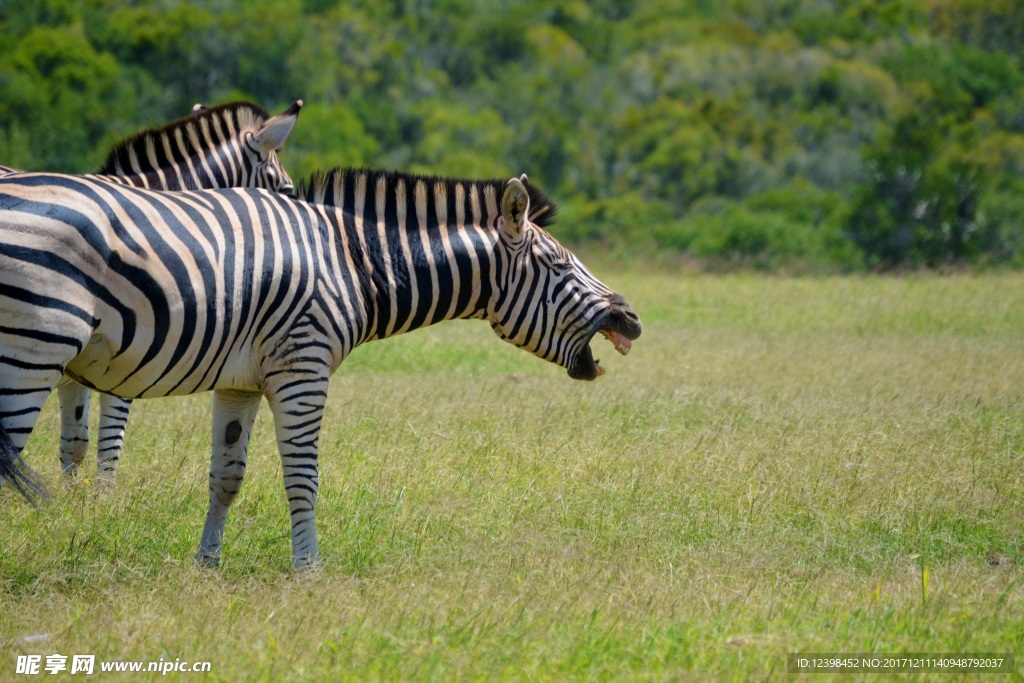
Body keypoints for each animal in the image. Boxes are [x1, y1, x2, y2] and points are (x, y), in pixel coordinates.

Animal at [0, 167, 638, 569]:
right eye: (559, 265)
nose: (631, 318)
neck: (353, 262)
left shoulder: (238, 381)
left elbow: (226, 478)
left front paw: (205, 566)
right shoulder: (302, 368)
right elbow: (302, 478)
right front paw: (309, 571)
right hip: (32, 348)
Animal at [1, 100, 303, 485]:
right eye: (288, 191)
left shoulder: (76, 364)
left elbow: (75, 441)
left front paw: (72, 498)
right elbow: (109, 443)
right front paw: (102, 497)